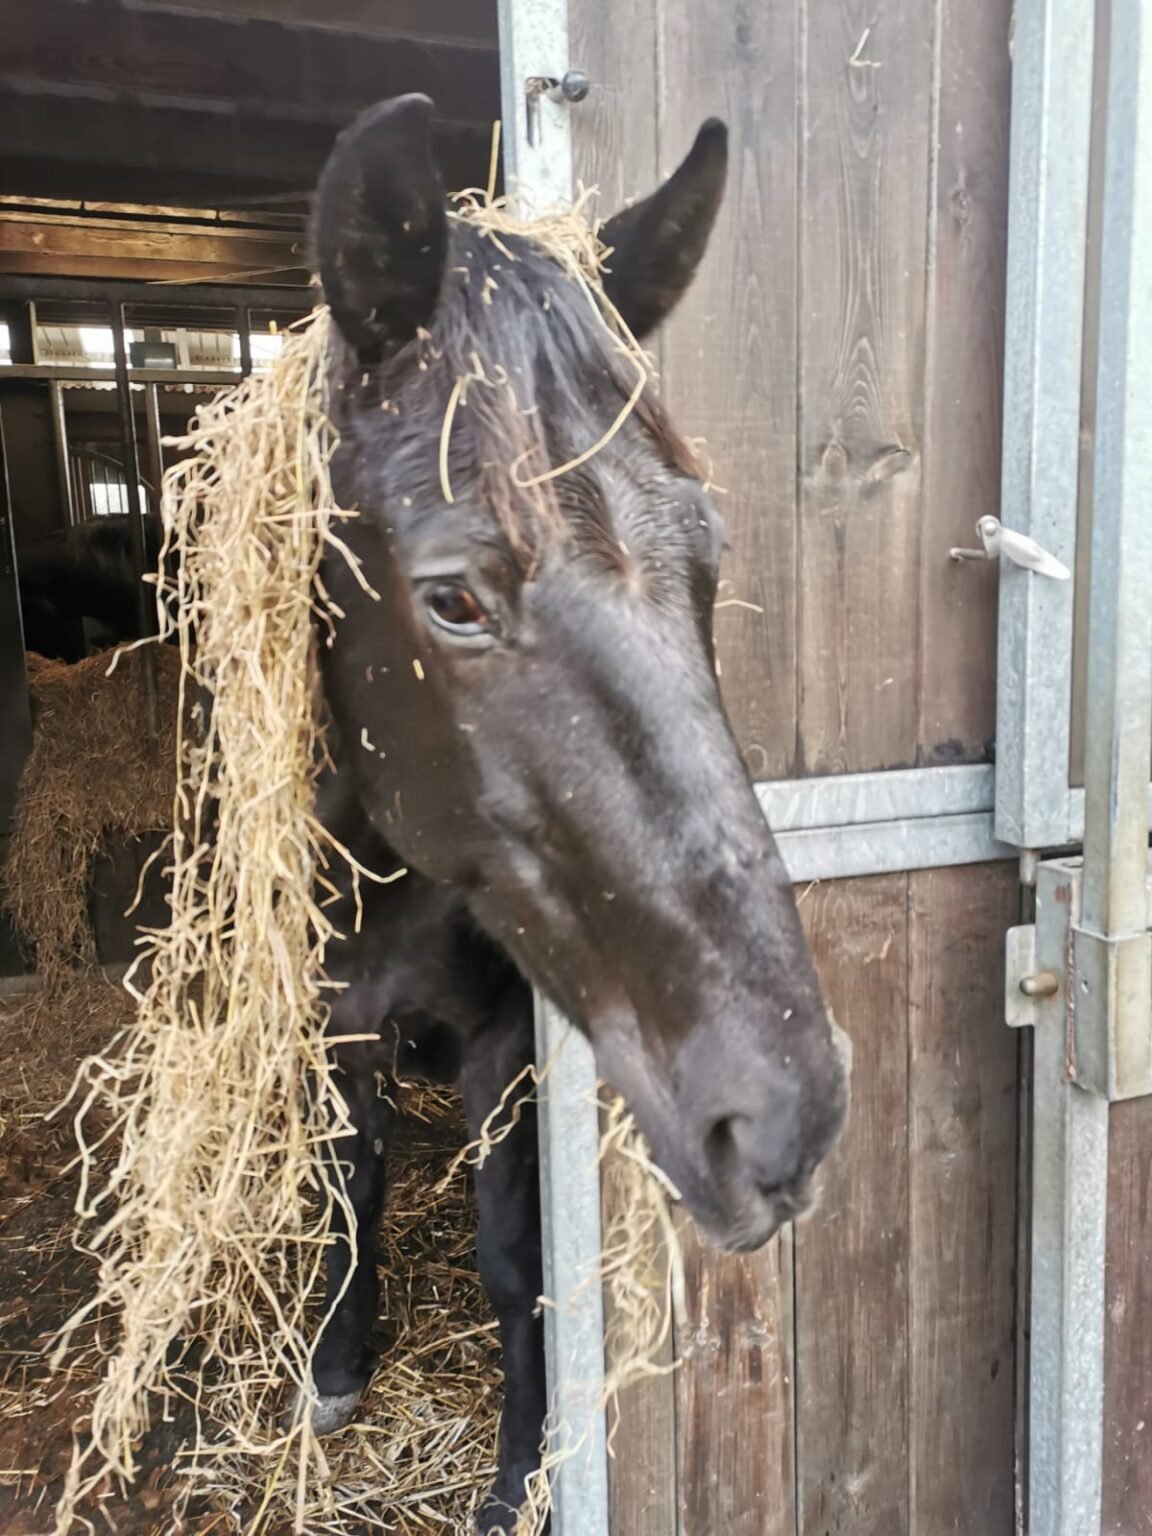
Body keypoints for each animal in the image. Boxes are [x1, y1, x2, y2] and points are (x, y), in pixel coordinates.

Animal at [18, 102, 854, 1529]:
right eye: (455, 598)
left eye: (709, 553)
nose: (782, 1117)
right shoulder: (327, 1019)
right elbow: (349, 1189)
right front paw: (335, 1366)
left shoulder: (504, 1041)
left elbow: (514, 1256)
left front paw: (520, 1471)